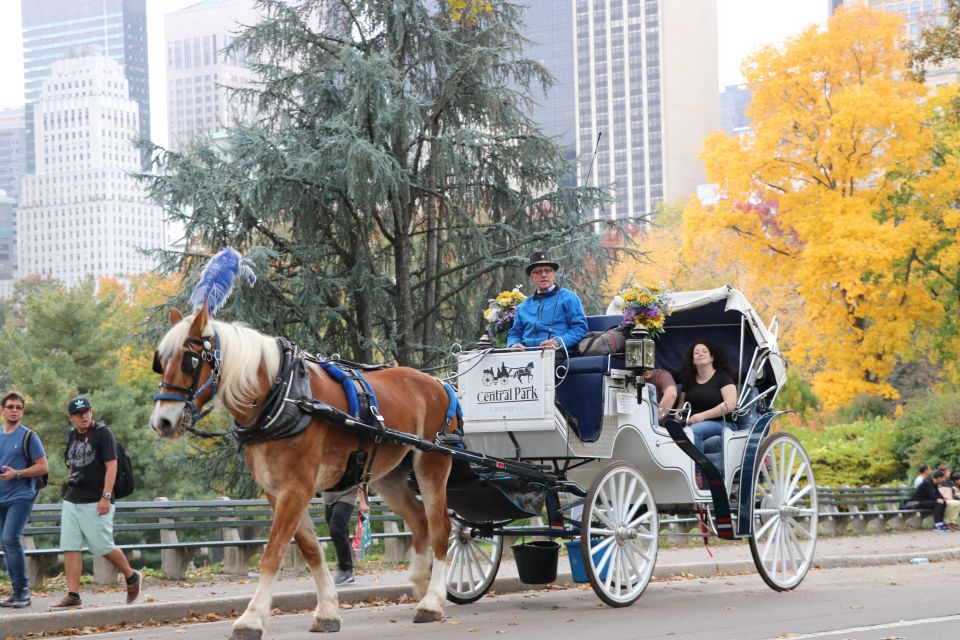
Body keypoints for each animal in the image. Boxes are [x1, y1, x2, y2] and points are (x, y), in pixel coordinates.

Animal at [151, 308, 458, 636]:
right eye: (161, 362)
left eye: (190, 360)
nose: (161, 422)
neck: (283, 397)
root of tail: (439, 383)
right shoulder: (276, 492)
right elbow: (311, 549)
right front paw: (327, 612)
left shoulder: (296, 488)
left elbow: (273, 553)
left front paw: (252, 618)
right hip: (390, 477)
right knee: (419, 521)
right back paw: (422, 583)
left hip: (433, 463)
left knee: (440, 527)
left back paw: (432, 602)